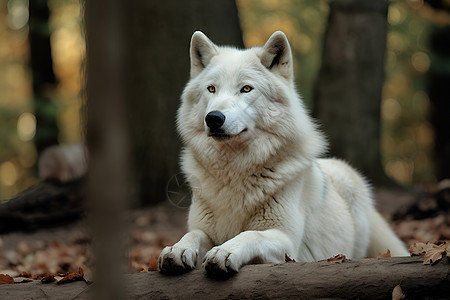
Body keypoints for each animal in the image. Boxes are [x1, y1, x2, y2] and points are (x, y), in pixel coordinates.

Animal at [160, 31, 410, 278]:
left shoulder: (287, 242)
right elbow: (192, 234)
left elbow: (250, 234)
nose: (213, 118)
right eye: (211, 89)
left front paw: (225, 251)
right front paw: (177, 249)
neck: (235, 172)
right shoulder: (203, 229)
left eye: (246, 89)